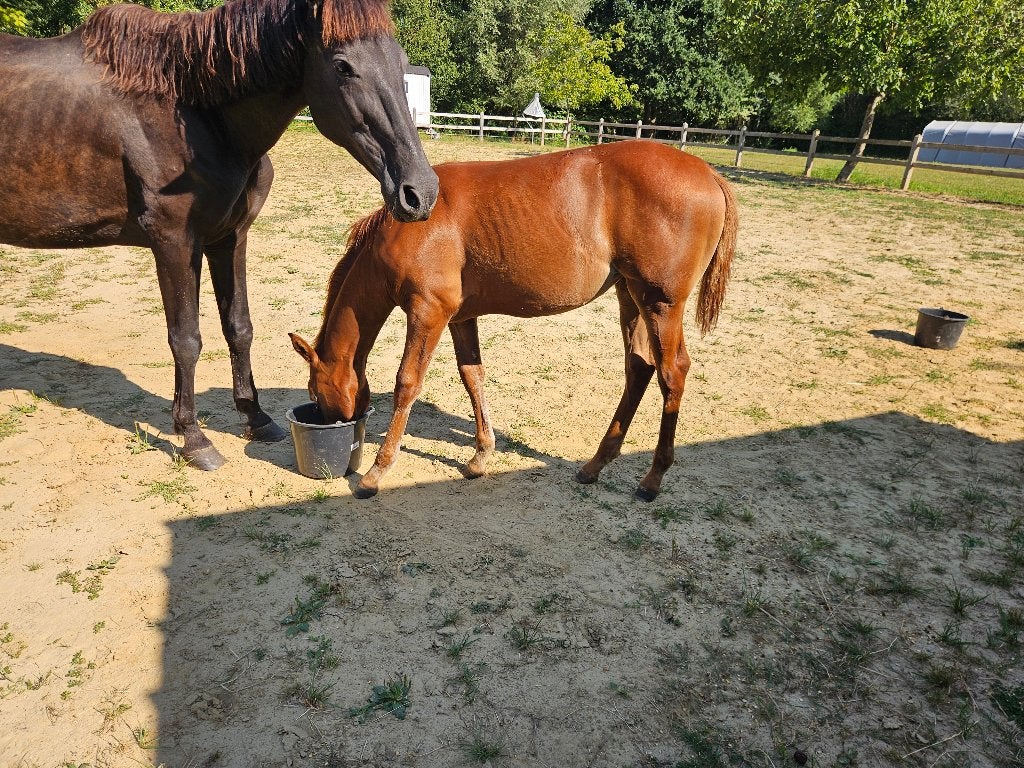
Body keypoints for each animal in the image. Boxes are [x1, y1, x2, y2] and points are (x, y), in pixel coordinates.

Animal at [0, 0, 439, 470]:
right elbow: (186, 339)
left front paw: (256, 418)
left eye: (400, 61)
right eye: (342, 66)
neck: (194, 115)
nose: (421, 191)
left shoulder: (228, 239)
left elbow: (239, 327)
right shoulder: (174, 243)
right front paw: (194, 439)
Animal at [290, 139, 737, 501]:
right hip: (631, 296)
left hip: (660, 304)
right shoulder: (459, 317)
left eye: (314, 391)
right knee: (639, 367)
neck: (406, 229)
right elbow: (472, 376)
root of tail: (710, 174)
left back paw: (653, 478)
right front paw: (480, 456)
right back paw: (595, 465)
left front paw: (375, 472)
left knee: (672, 372)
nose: (326, 422)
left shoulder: (427, 313)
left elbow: (407, 384)